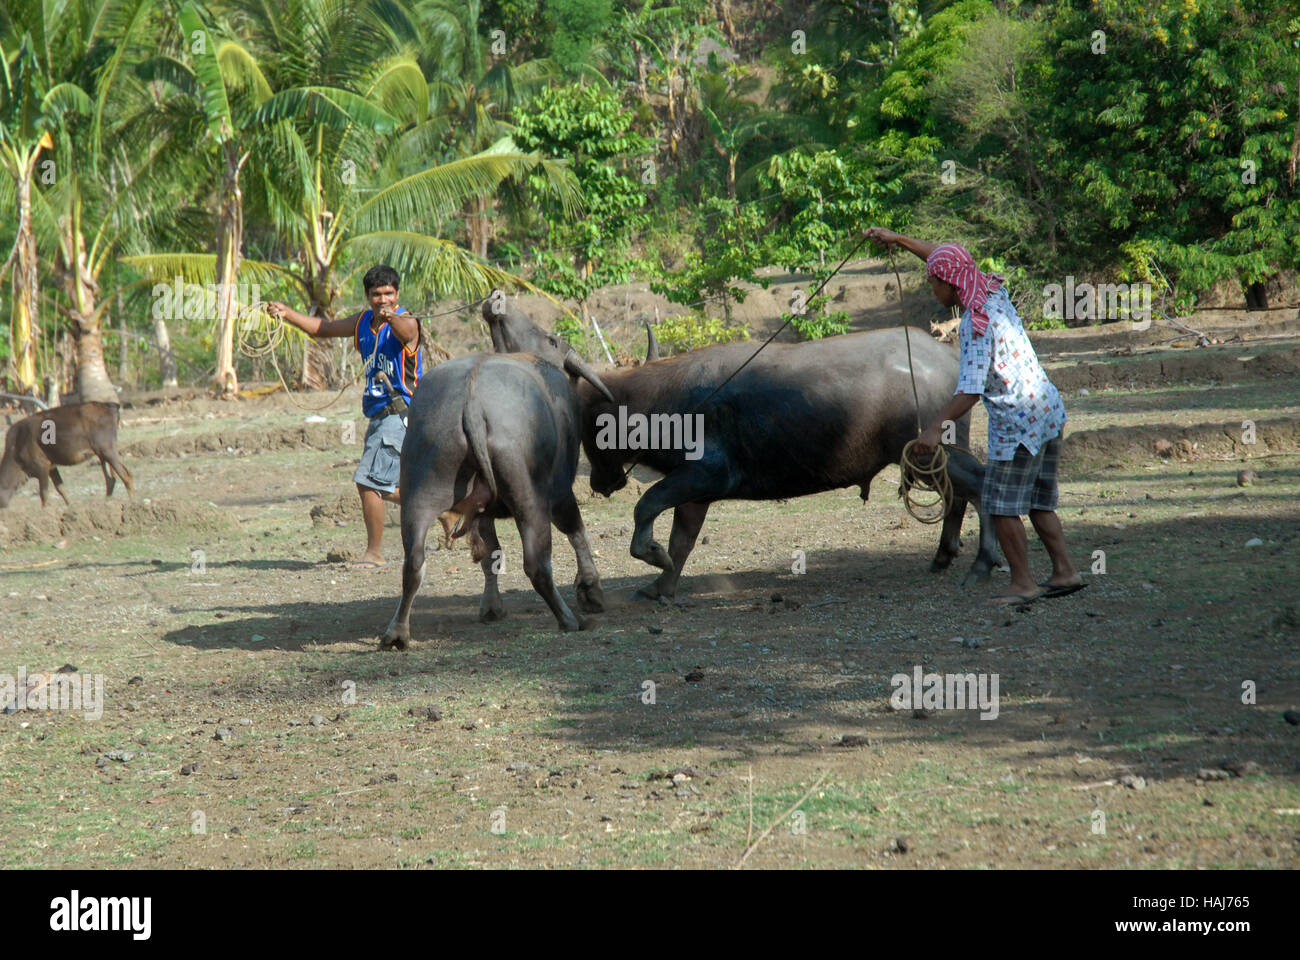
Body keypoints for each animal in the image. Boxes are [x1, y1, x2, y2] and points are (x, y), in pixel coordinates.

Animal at [0, 398, 133, 509]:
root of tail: (113, 406)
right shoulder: (52, 466)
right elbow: (61, 489)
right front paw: (70, 507)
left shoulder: (41, 465)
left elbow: (44, 493)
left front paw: (44, 512)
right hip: (103, 452)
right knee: (111, 479)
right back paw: (106, 503)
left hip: (107, 450)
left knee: (125, 474)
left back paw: (132, 503)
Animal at [379, 310, 616, 647]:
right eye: (552, 340)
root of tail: (472, 404)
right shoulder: (560, 492)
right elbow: (576, 531)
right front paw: (591, 590)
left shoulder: (480, 510)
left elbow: (490, 552)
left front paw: (491, 606)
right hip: (529, 498)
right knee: (537, 564)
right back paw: (569, 619)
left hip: (419, 490)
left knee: (413, 562)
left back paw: (397, 632)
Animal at [569, 329, 993, 598]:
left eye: (589, 425)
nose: (599, 484)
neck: (668, 403)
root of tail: (950, 359)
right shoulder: (695, 491)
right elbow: (682, 540)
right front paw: (661, 586)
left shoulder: (705, 476)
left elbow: (647, 506)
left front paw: (653, 557)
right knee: (960, 495)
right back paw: (944, 556)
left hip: (930, 452)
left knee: (980, 486)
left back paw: (983, 563)